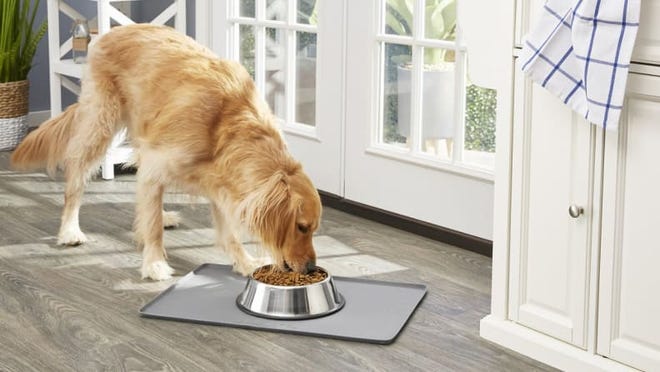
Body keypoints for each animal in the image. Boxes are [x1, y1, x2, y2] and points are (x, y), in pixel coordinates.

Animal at [9, 24, 320, 280]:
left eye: (313, 229)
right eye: (301, 227)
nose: (311, 268)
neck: (226, 128)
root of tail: (112, 32)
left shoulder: (219, 181)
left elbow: (228, 232)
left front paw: (244, 262)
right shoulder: (161, 165)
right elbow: (153, 227)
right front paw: (155, 264)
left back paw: (164, 213)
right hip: (100, 124)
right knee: (75, 178)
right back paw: (70, 230)